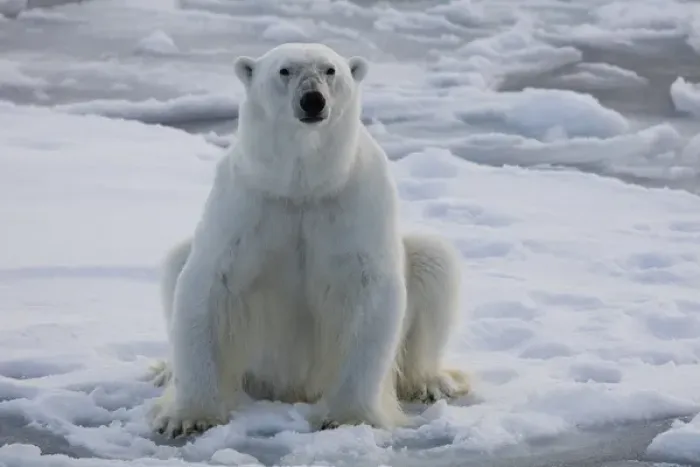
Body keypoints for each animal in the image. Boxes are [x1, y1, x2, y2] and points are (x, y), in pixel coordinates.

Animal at [148, 42, 469, 438]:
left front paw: (349, 416)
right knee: (176, 262)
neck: (302, 186)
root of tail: (290, 389)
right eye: (284, 70)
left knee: (435, 259)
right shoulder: (248, 200)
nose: (313, 100)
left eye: (330, 70)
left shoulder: (355, 200)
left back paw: (431, 382)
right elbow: (207, 283)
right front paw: (188, 416)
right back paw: (165, 371)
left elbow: (371, 291)